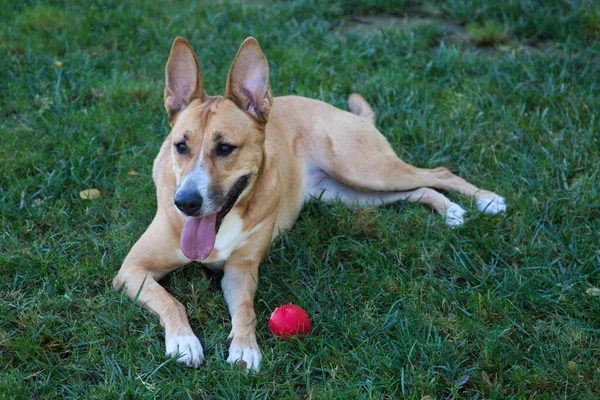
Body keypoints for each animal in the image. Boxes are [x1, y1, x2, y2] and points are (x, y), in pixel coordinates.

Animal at [112, 37, 506, 372]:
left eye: (225, 148)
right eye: (180, 145)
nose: (186, 203)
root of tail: (339, 110)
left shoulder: (242, 270)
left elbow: (246, 310)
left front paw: (244, 347)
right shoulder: (132, 270)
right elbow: (170, 300)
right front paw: (184, 341)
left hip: (364, 168)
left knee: (437, 172)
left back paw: (484, 200)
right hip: (349, 194)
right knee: (420, 189)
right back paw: (450, 208)